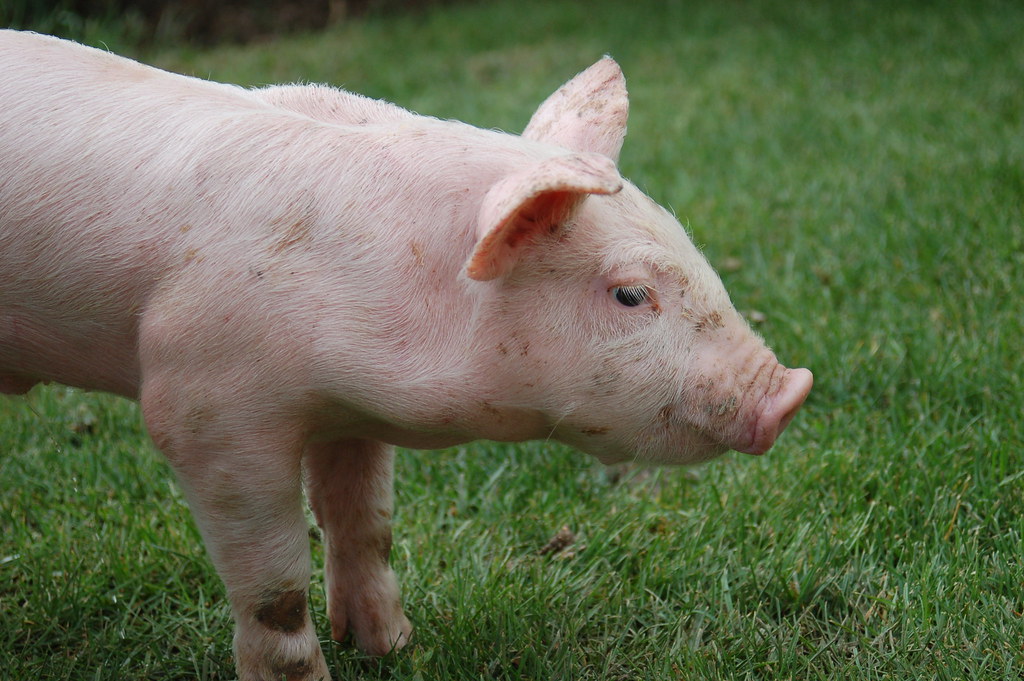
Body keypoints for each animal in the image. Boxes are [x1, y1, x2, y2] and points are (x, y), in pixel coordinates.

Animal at [0, 30, 813, 681]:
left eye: (687, 243)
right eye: (631, 294)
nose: (792, 389)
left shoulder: (345, 414)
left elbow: (365, 524)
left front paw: (394, 647)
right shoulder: (204, 405)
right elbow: (275, 594)